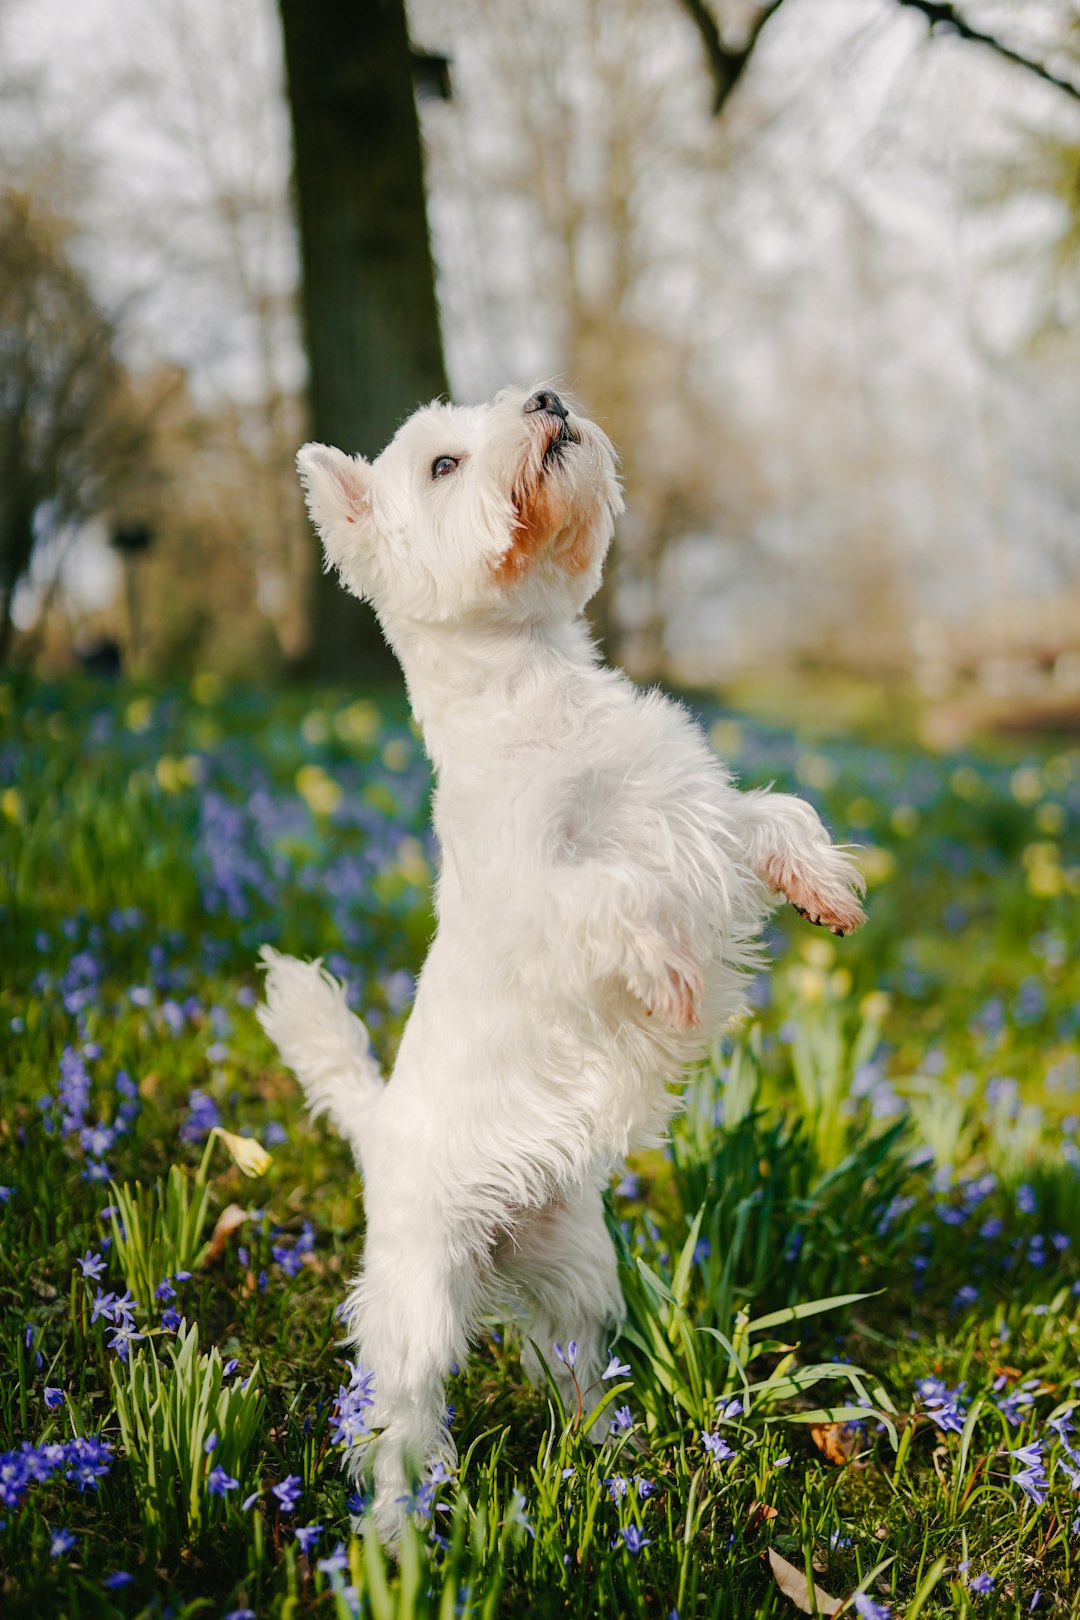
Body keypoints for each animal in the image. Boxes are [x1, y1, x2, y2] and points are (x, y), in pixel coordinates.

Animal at [255, 382, 867, 1542]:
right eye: (443, 464)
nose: (546, 399)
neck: (536, 687)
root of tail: (381, 1132)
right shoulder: (548, 890)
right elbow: (621, 902)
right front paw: (674, 978)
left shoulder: (700, 818)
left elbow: (776, 813)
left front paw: (824, 887)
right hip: (420, 1300)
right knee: (401, 1421)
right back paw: (398, 1536)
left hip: (579, 1264)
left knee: (572, 1366)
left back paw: (612, 1458)